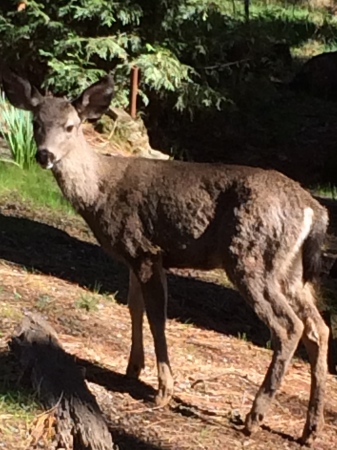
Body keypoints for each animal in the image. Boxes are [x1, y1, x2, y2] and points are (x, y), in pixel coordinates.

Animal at [1, 70, 328, 442]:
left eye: (70, 126)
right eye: (36, 122)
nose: (44, 155)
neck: (99, 191)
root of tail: (314, 211)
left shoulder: (146, 249)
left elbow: (157, 314)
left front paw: (163, 389)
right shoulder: (131, 254)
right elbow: (134, 306)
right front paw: (132, 369)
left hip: (251, 257)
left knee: (290, 327)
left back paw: (254, 417)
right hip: (292, 272)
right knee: (318, 329)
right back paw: (310, 429)